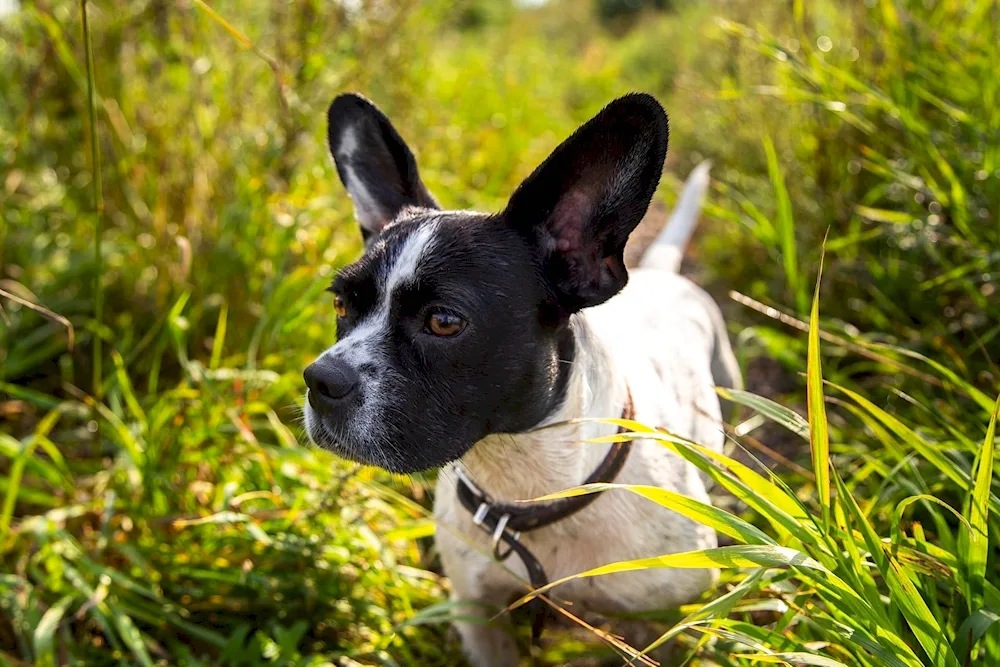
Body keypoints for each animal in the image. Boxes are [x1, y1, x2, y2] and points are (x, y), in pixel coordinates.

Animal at [304, 91, 744, 664]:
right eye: (340, 303)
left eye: (444, 322)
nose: (319, 380)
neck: (526, 487)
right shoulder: (479, 615)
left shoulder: (665, 621)